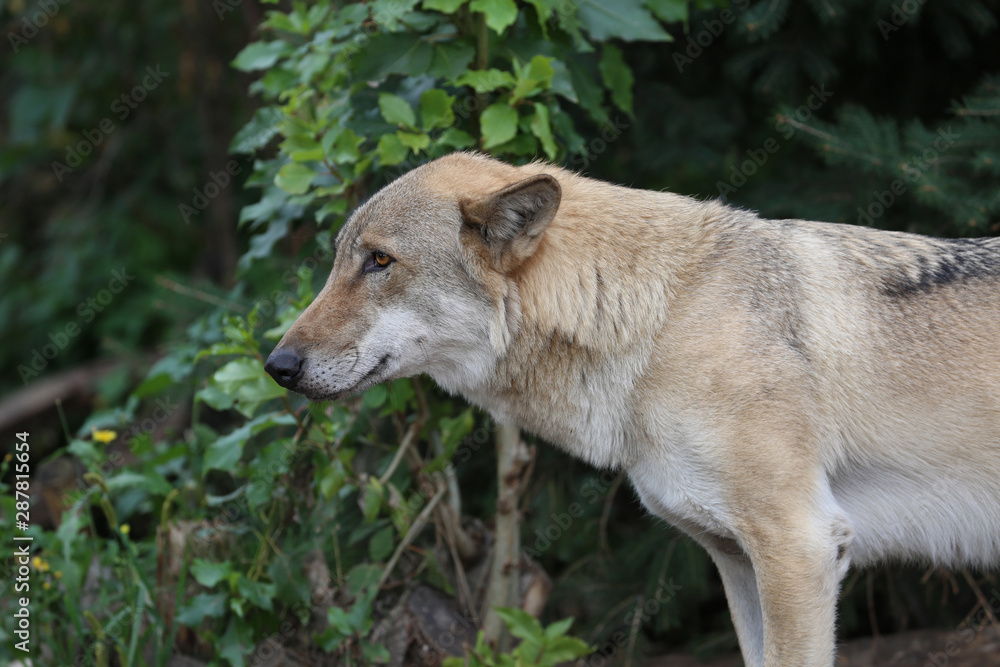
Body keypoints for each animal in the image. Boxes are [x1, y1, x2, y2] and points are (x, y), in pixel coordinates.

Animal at [264, 153, 1000, 667]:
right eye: (340, 260)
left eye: (380, 261)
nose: (277, 366)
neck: (662, 322)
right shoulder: (738, 560)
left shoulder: (801, 545)